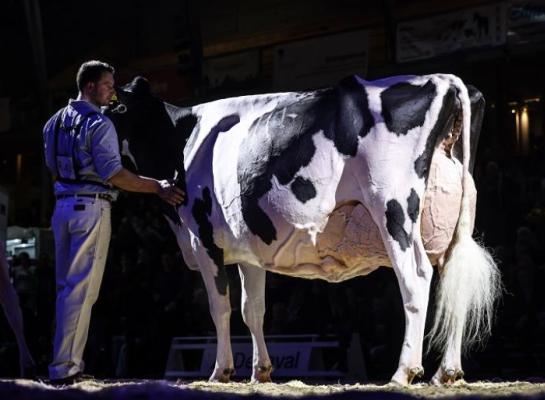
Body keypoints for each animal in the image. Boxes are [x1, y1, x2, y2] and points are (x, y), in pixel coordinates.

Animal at [107, 74, 502, 384]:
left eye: (118, 109)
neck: (180, 138)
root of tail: (446, 80)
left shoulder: (202, 238)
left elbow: (220, 307)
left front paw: (221, 371)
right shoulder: (247, 247)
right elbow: (253, 309)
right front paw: (261, 371)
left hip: (394, 208)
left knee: (416, 279)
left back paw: (405, 371)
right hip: (459, 221)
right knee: (454, 279)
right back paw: (447, 372)